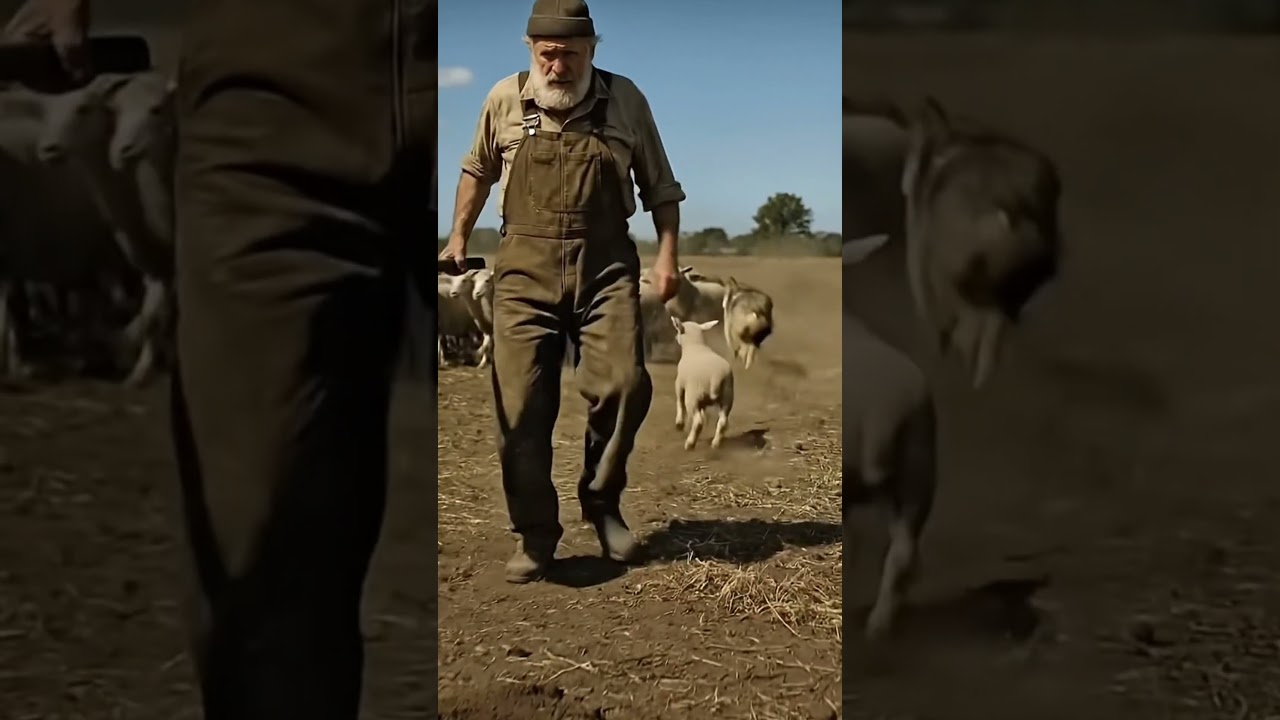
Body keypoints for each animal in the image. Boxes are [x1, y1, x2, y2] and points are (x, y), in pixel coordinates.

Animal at [670, 317, 734, 450]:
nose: (675, 337)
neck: (696, 346)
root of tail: (716, 377)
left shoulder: (679, 383)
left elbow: (679, 401)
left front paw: (679, 423)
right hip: (727, 396)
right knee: (723, 421)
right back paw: (715, 443)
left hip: (693, 395)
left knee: (698, 421)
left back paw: (690, 443)